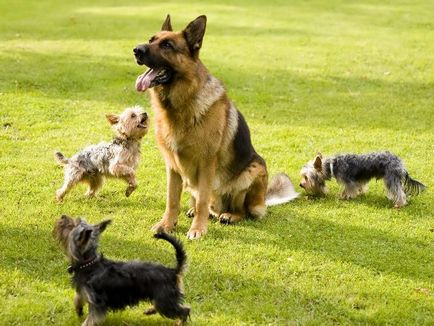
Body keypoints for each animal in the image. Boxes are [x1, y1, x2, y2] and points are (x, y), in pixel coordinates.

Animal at [134, 15, 296, 239]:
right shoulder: (172, 167)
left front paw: (197, 229)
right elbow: (172, 200)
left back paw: (229, 215)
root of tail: (264, 201)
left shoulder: (206, 164)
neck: (182, 104)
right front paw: (167, 225)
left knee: (242, 211)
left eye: (167, 45)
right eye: (151, 40)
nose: (136, 50)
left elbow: (202, 200)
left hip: (253, 171)